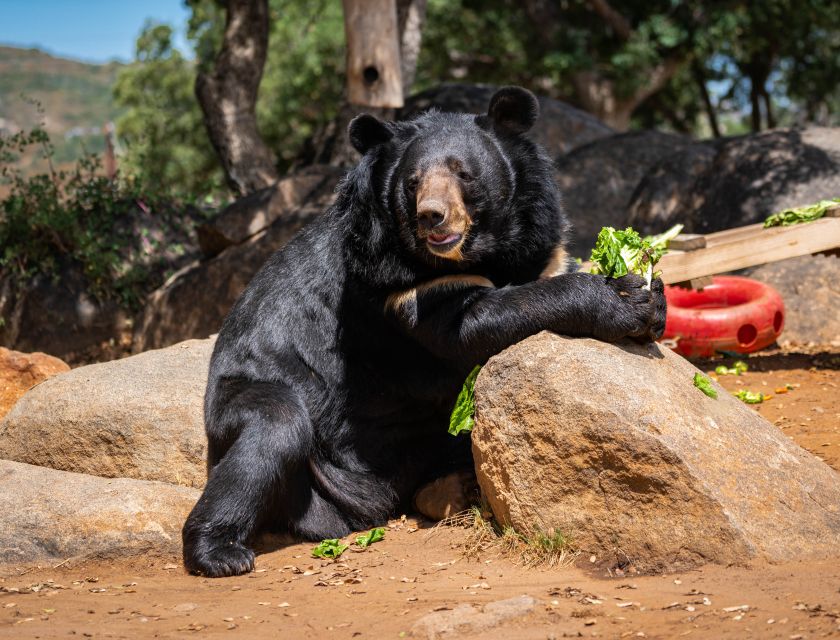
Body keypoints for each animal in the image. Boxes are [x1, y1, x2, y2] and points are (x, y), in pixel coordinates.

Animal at [180, 87, 668, 576]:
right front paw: (622, 303)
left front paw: (647, 294)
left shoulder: (539, 239)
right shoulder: (392, 281)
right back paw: (220, 553)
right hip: (246, 402)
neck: (476, 253)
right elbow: (470, 324)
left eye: (464, 173)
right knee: (271, 432)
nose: (432, 216)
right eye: (413, 182)